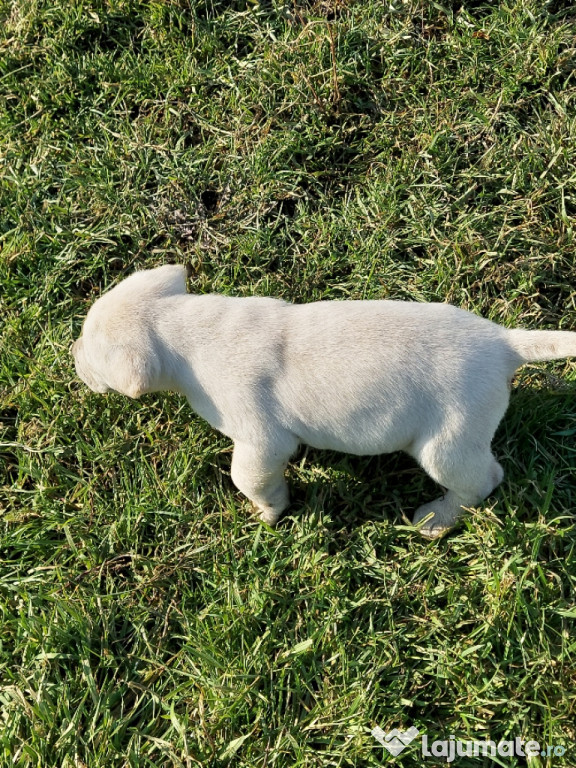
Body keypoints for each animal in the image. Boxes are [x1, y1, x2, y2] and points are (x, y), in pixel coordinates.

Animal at [72, 268, 576, 536]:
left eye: (90, 350)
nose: (71, 355)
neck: (184, 325)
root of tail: (503, 342)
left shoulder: (261, 440)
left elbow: (249, 478)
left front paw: (267, 513)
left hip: (448, 444)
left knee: (483, 481)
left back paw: (436, 517)